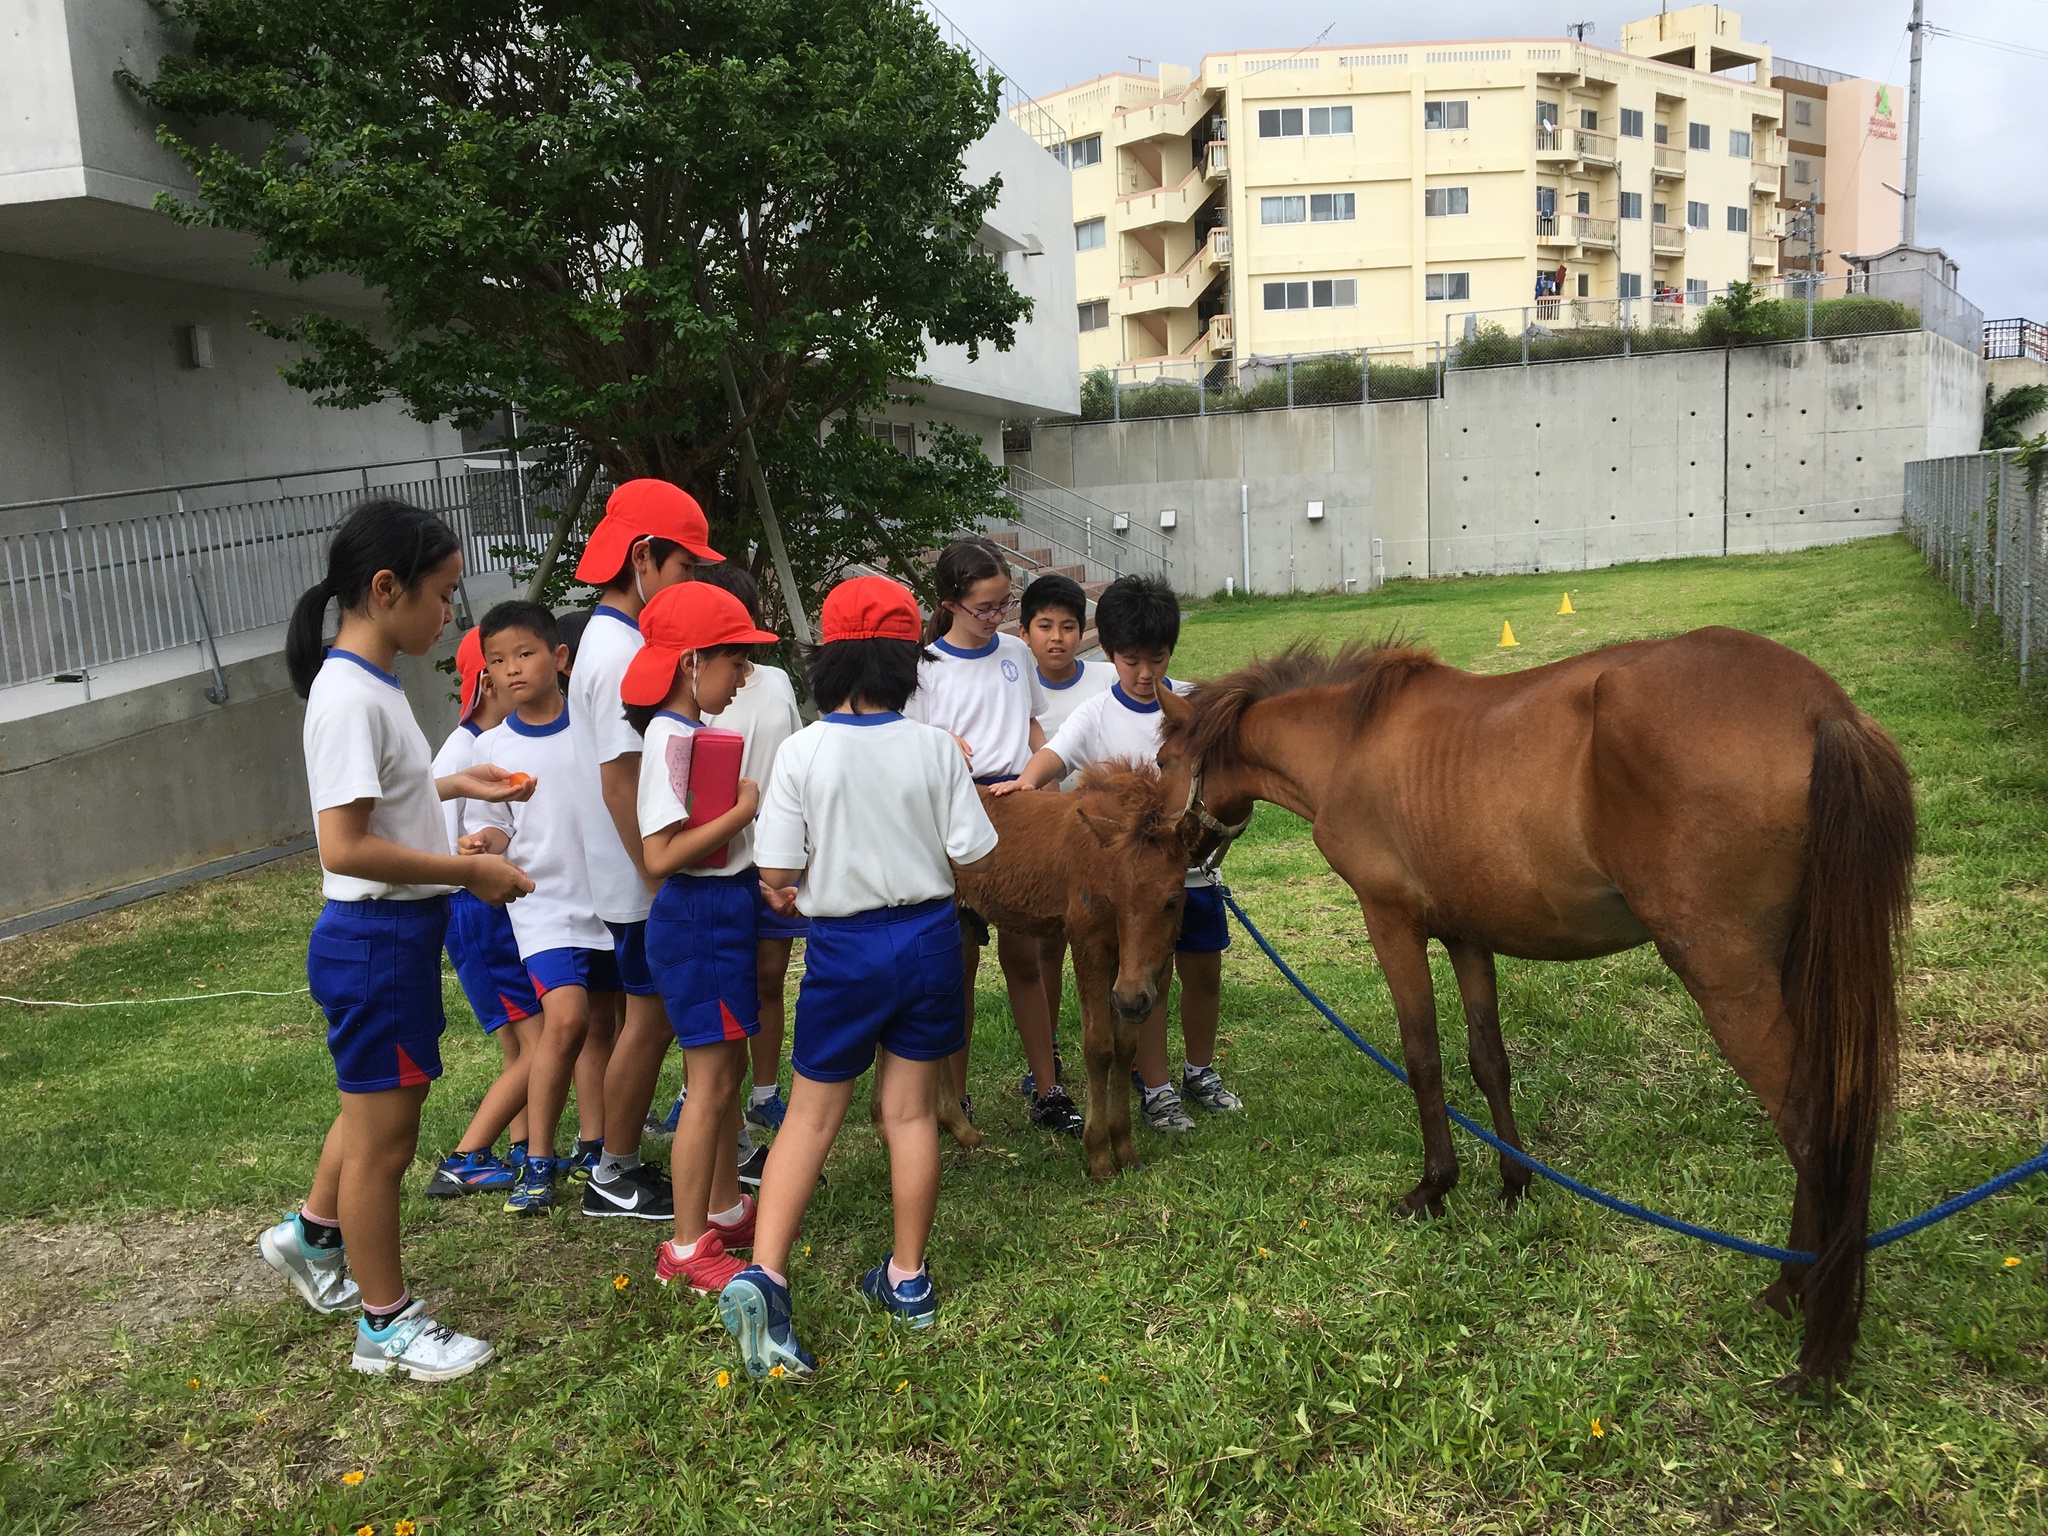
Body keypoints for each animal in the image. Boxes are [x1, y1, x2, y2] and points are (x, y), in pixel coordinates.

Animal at [954, 765, 1196, 1179]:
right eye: (1116, 897)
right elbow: (1099, 1046)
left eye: (1173, 900)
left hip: (967, 932)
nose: (1132, 999)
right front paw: (1099, 1155)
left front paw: (1124, 1148)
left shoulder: (1136, 968)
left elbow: (1125, 1046)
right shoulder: (1088, 945)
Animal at [1163, 630, 1908, 1392]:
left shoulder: (1391, 924)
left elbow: (1423, 1059)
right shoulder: (1466, 935)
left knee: (1811, 1125)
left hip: (1730, 981)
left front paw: (1433, 1188)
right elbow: (1487, 1060)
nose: (1169, 847)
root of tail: (1819, 708)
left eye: (1162, 760)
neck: (1350, 741)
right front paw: (1514, 1181)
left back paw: (1797, 1299)